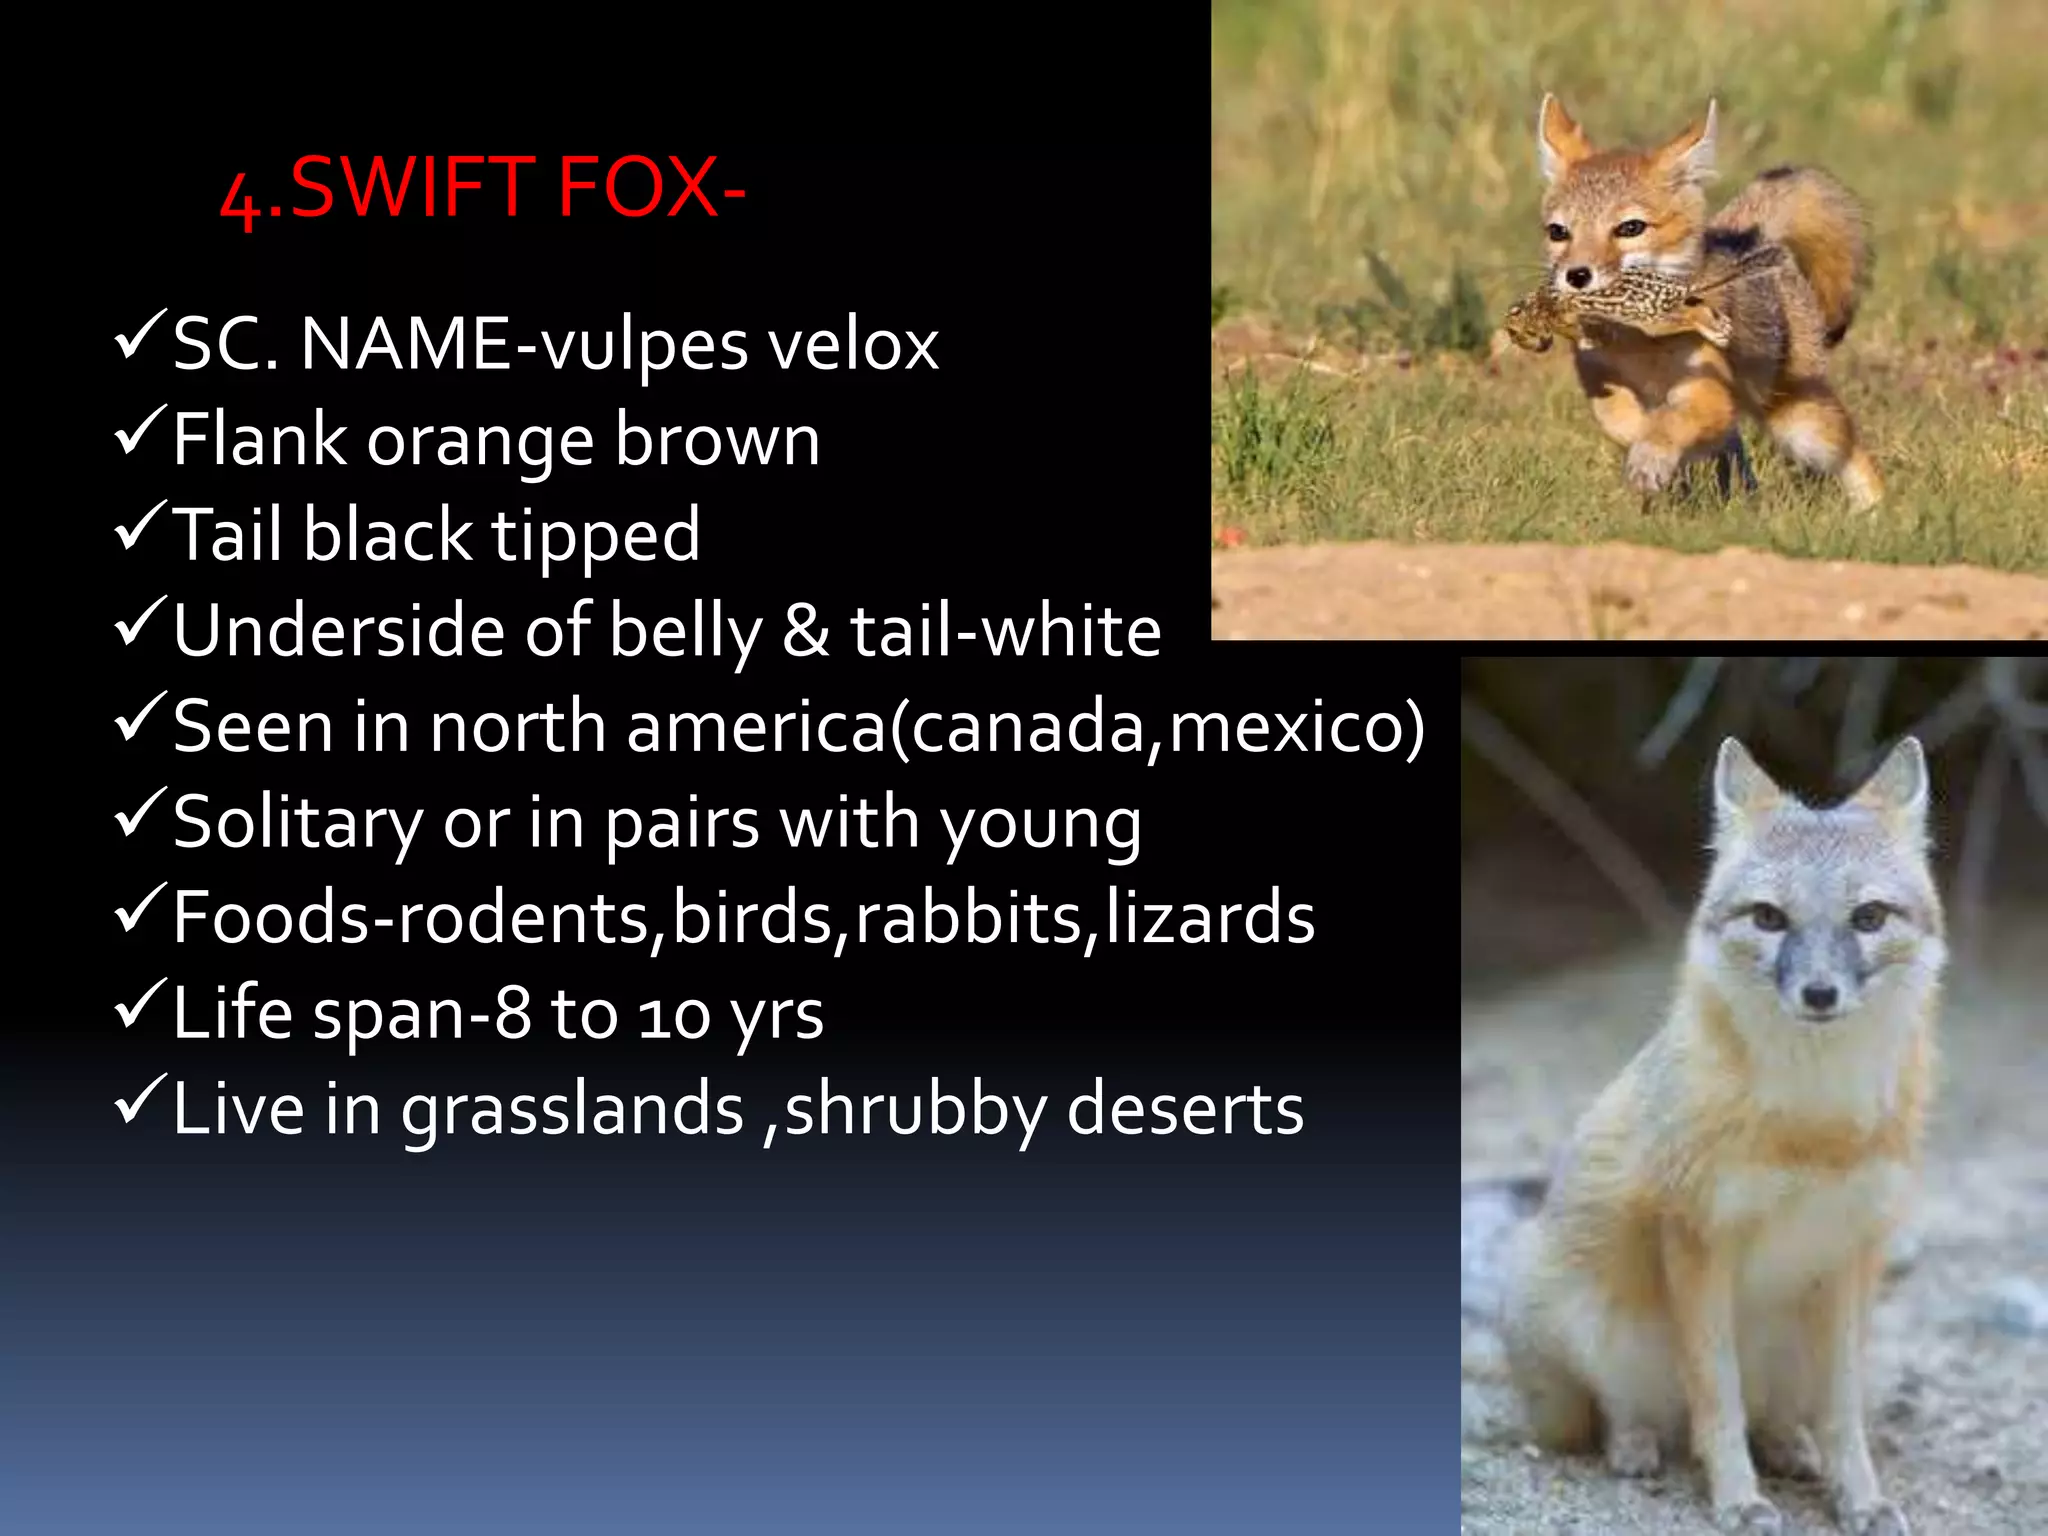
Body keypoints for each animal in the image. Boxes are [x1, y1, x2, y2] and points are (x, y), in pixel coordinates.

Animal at [1501, 736, 1943, 1535]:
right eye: (1769, 917)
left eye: (1868, 917)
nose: (1820, 994)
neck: (1813, 1125)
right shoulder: (1698, 1237)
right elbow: (1716, 1397)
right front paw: (1737, 1498)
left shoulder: (1848, 1248)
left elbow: (1842, 1412)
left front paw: (1859, 1496)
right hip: (1582, 1324)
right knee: (1626, 1408)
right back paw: (1636, 1446)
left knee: (1777, 1412)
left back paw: (1790, 1447)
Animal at [1535, 94, 1884, 510]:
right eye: (1559, 232)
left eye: (1630, 228)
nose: (1576, 275)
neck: (1639, 349)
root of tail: (1751, 238)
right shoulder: (1600, 383)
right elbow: (1623, 423)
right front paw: (1651, 459)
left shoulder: (1708, 392)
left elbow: (1670, 423)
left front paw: (1653, 455)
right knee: (1733, 448)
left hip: (1802, 426)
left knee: (1855, 453)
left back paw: (1876, 512)